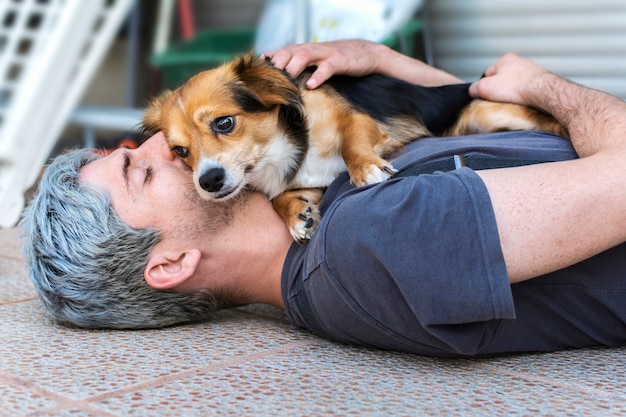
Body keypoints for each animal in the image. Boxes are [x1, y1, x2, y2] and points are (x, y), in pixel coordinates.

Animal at [143, 52, 564, 240]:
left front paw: (366, 168)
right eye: (180, 151)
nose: (208, 181)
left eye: (225, 123)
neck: (280, 148)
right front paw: (297, 215)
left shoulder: (358, 121)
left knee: (544, 118)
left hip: (484, 110)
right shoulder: (313, 181)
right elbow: (281, 198)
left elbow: (352, 144)